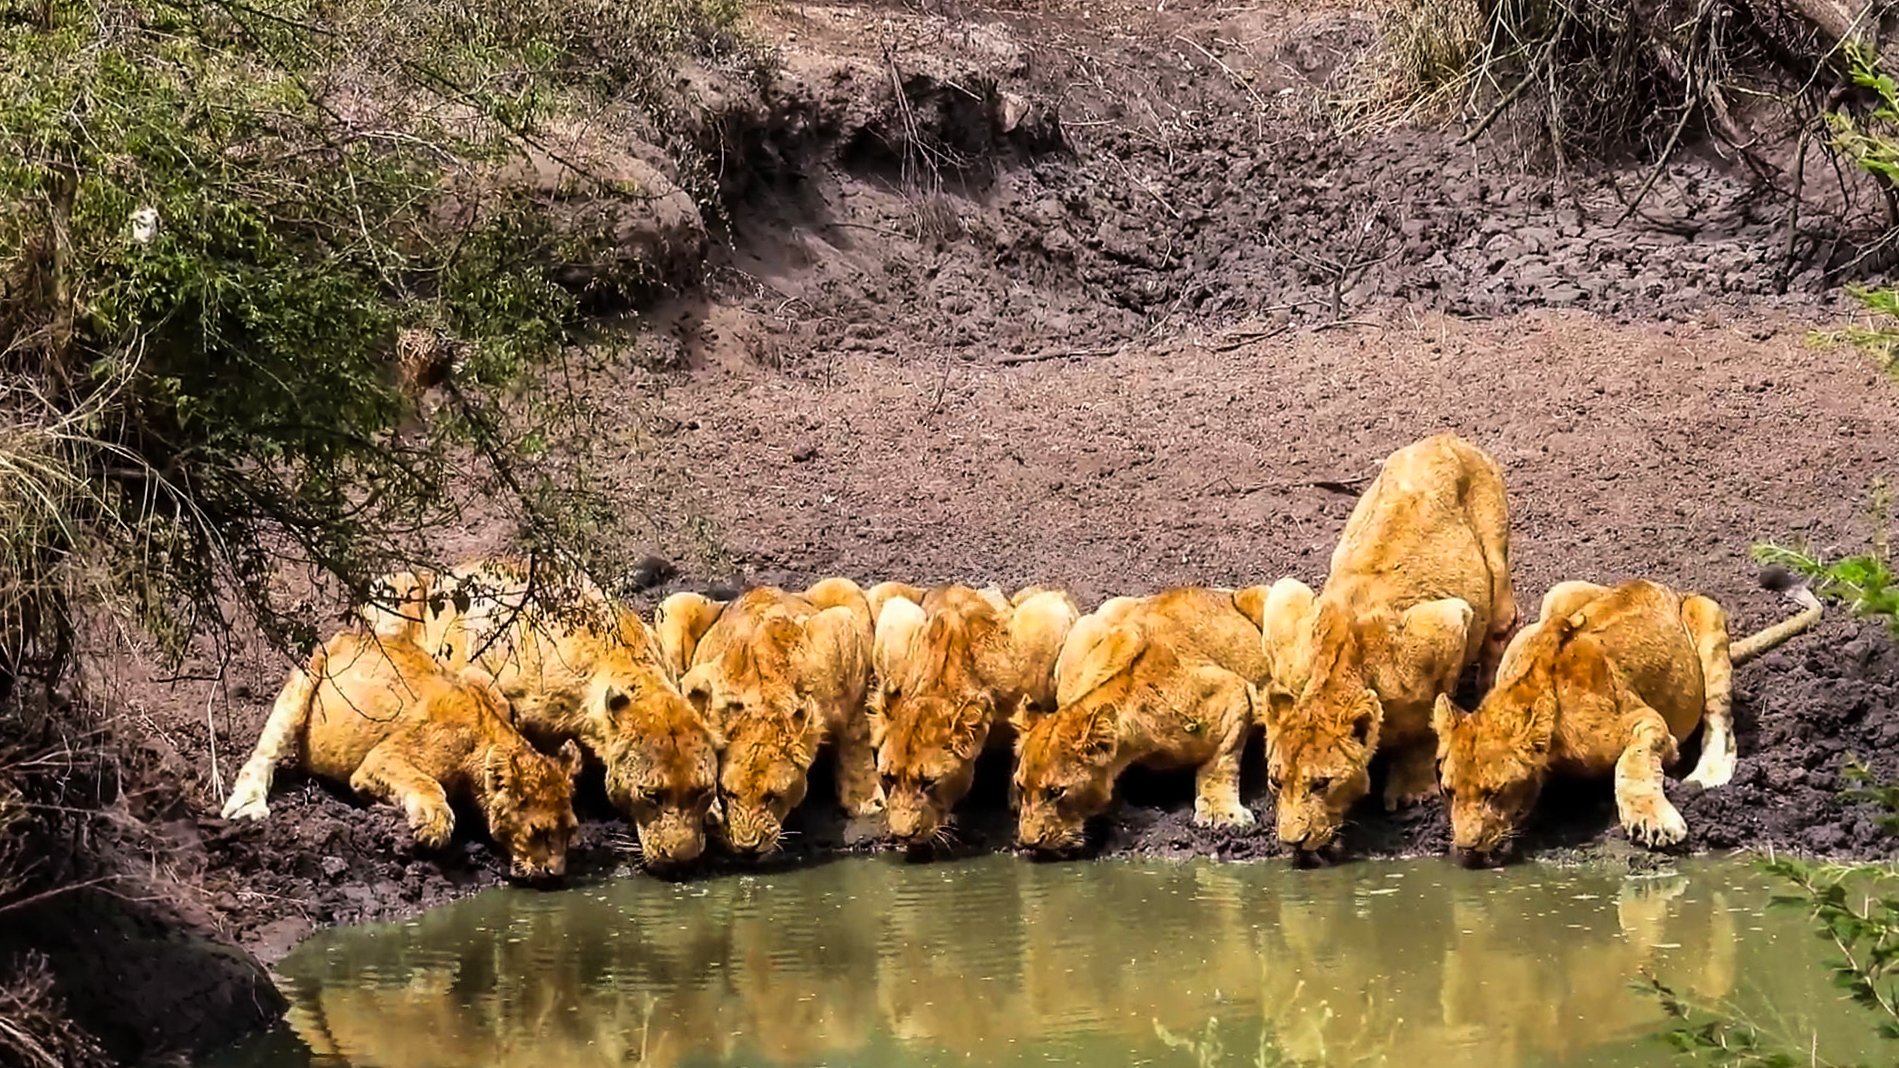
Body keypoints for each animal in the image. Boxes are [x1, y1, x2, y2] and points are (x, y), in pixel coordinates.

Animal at [219, 630, 582, 882]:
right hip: (304, 679)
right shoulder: (380, 759)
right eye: (539, 832)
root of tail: (355, 633)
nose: (557, 875)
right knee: (265, 751)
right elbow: (426, 784)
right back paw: (249, 805)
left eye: (570, 832)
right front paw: (432, 826)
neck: (486, 736)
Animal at [660, 579, 881, 858]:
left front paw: (866, 800)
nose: (748, 847)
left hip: (842, 585)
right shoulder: (699, 677)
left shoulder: (840, 632)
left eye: (773, 796)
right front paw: (712, 810)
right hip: (674, 603)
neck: (767, 699)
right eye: (728, 793)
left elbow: (855, 732)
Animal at [1014, 586, 1271, 854]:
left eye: (1056, 792)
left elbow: (1220, 762)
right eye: (1020, 786)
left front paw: (1221, 812)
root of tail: (1220, 590)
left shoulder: (1234, 693)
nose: (1029, 842)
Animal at [1263, 432, 1517, 864]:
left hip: (1496, 570)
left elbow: (1424, 721)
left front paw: (1411, 790)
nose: (1292, 842)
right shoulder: (1285, 599)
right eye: (1277, 781)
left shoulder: (1448, 621)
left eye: (1321, 784)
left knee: (1501, 623)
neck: (1337, 666)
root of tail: (1445, 437)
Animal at [1432, 575, 1823, 865]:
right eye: (1449, 791)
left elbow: (1632, 762)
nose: (1466, 850)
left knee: (1720, 721)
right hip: (1558, 596)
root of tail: (1666, 588)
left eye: (1494, 793)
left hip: (1708, 614)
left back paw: (1707, 775)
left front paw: (1652, 821)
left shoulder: (1648, 721)